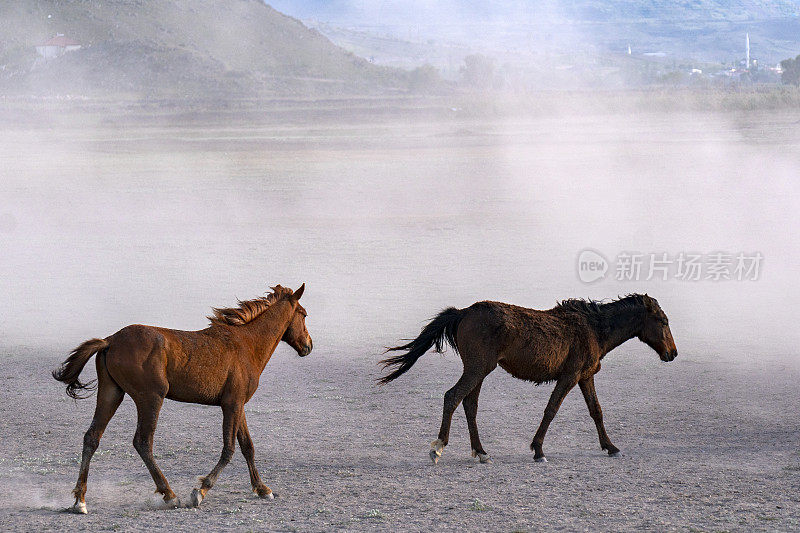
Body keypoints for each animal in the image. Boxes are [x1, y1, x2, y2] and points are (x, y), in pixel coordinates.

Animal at [51, 282, 310, 512]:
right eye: (304, 314)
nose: (308, 346)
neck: (245, 343)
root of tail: (110, 340)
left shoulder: (237, 405)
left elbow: (247, 446)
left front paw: (263, 489)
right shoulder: (231, 404)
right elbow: (229, 449)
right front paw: (200, 492)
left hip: (111, 394)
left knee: (92, 437)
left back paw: (79, 500)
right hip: (151, 398)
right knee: (142, 442)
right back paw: (169, 495)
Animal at [380, 294, 676, 464]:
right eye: (663, 321)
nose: (672, 353)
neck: (594, 328)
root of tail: (463, 312)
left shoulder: (585, 377)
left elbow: (596, 411)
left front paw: (611, 447)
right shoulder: (569, 376)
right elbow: (551, 410)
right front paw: (538, 450)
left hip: (480, 370)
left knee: (469, 405)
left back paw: (481, 452)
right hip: (477, 368)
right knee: (452, 396)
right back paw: (439, 447)